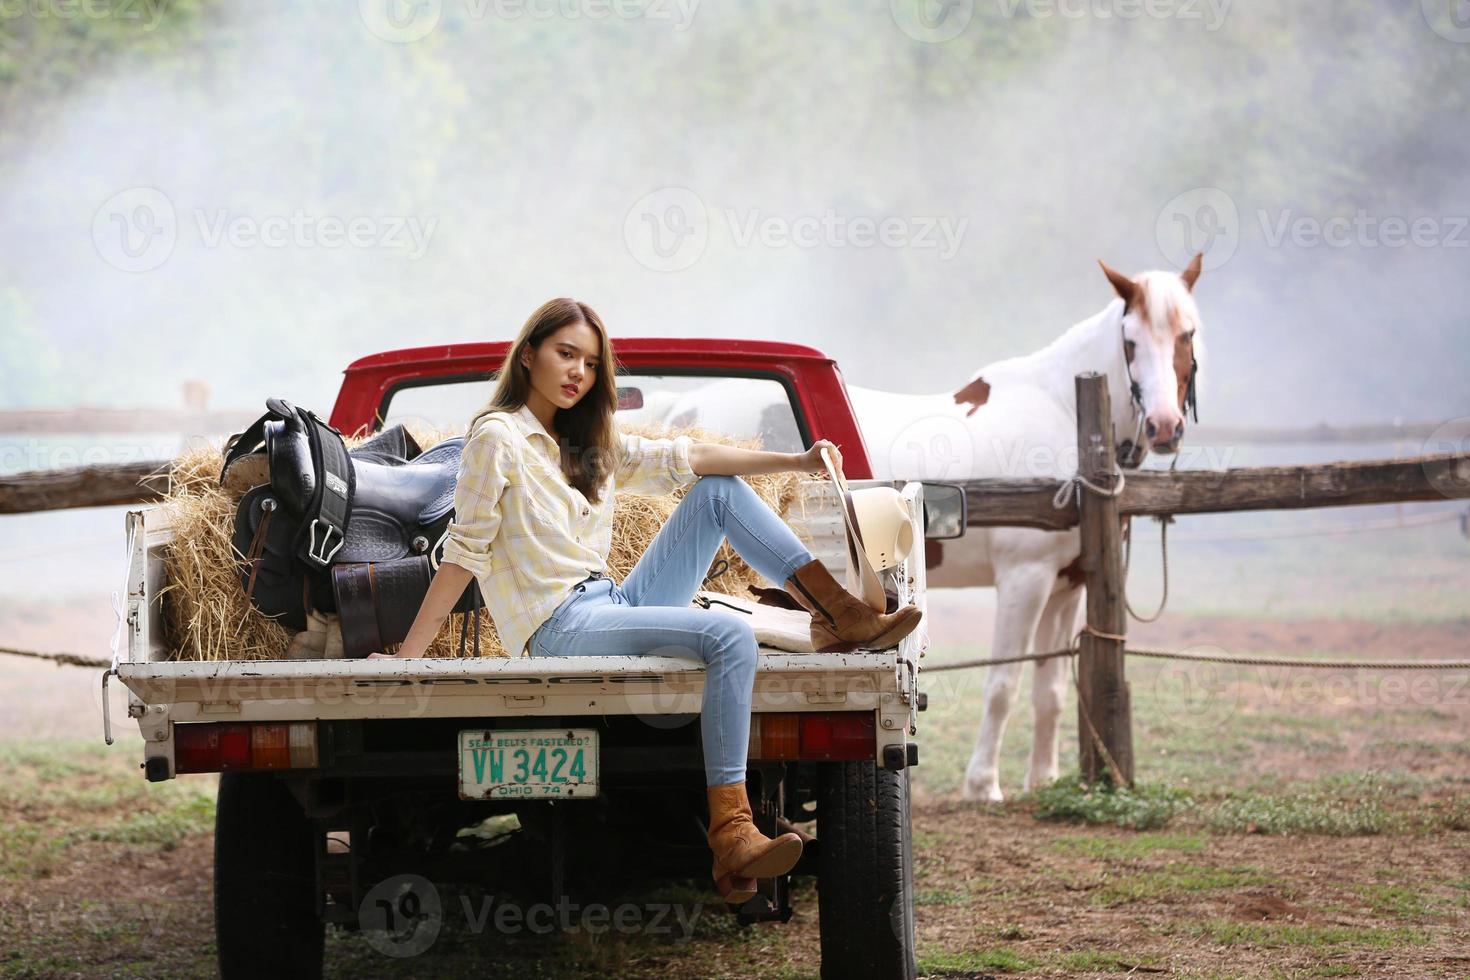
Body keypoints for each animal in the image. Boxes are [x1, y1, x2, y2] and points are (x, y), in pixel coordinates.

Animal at [852, 257, 1205, 799]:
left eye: (1187, 333)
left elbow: (1050, 690)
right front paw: (983, 786)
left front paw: (1042, 780)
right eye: (1130, 340)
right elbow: (1003, 686)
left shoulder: (1066, 587)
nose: (1165, 426)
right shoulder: (1025, 580)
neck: (1064, 414)